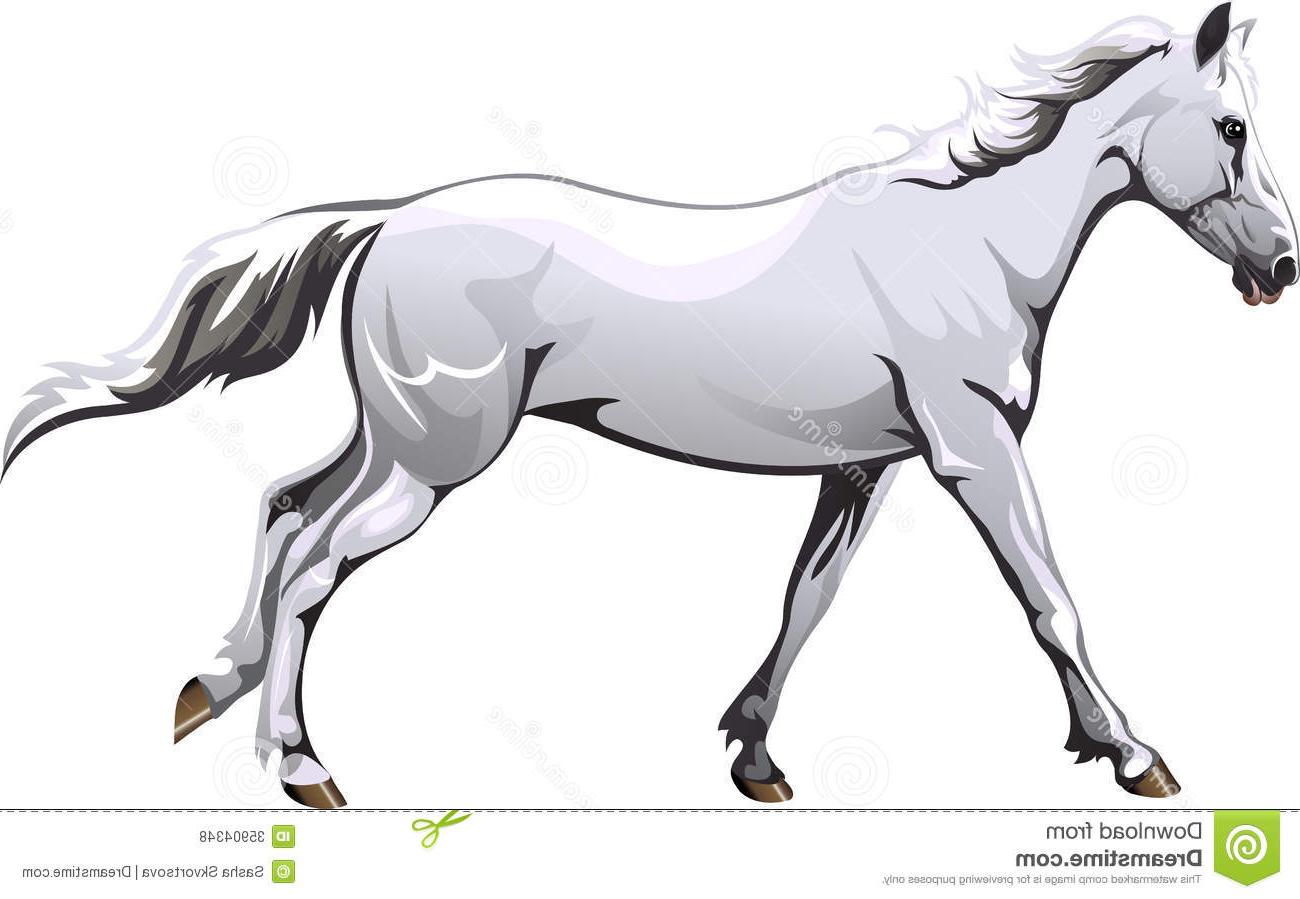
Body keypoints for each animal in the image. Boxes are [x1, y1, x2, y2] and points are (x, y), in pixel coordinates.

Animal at [3, 4, 1293, 809]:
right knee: (315, 560)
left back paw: (205, 690)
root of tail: (387, 219)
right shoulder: (972, 449)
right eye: (1232, 125)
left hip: (394, 444)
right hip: (431, 463)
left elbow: (806, 600)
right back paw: (301, 766)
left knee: (282, 509)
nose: (1279, 267)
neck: (965, 243)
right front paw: (1133, 753)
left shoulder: (860, 468)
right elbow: (1050, 602)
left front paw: (755, 756)